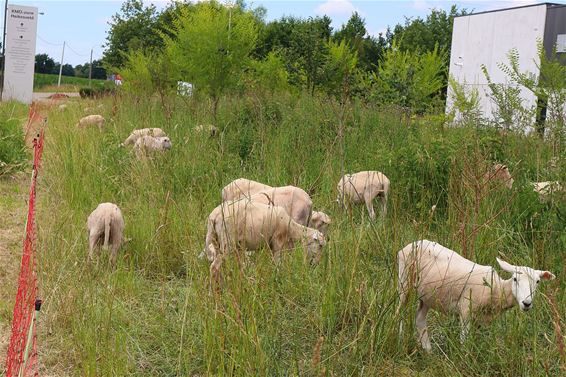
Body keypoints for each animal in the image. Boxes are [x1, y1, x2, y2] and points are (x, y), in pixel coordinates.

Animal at [400, 239, 560, 352]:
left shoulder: (479, 318)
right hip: (404, 282)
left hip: (428, 295)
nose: (526, 303)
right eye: (515, 279)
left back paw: (428, 351)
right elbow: (464, 340)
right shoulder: (466, 310)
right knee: (400, 312)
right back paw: (399, 340)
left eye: (538, 282)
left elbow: (474, 340)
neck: (497, 289)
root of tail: (413, 243)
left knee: (420, 319)